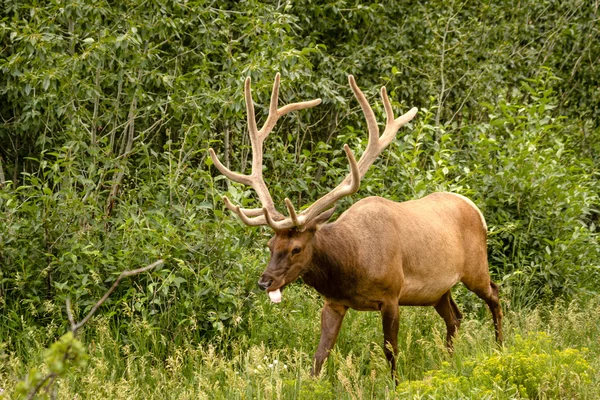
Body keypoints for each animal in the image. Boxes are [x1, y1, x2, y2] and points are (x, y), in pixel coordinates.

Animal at [209, 72, 504, 382]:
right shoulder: (333, 302)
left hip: (475, 268)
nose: (264, 282)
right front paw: (312, 384)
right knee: (455, 317)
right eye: (270, 245)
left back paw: (500, 347)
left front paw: (395, 384)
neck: (351, 267)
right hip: (438, 290)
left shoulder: (391, 295)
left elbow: (390, 350)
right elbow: (320, 355)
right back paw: (448, 361)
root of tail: (474, 207)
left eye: (296, 248)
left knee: (494, 294)